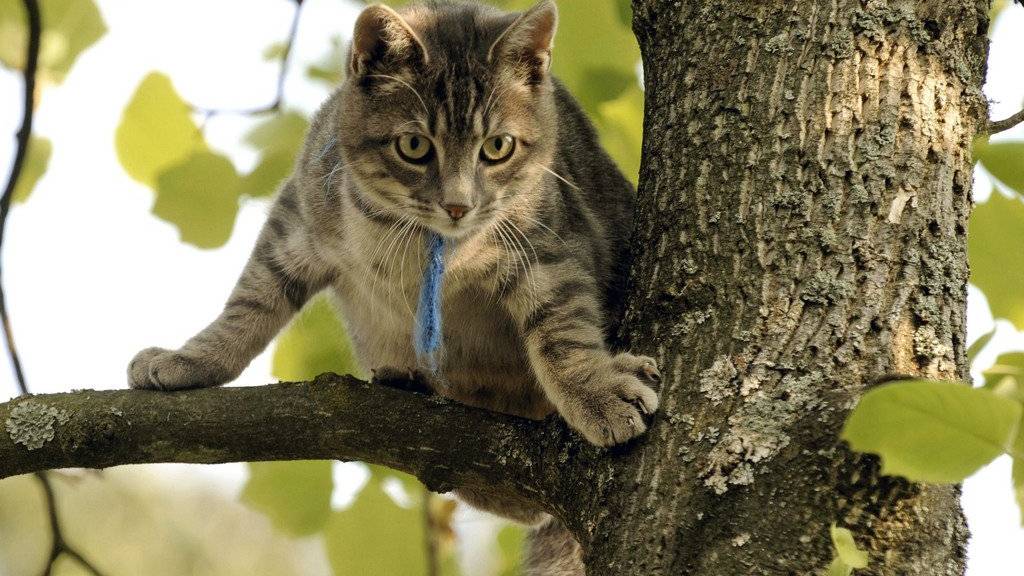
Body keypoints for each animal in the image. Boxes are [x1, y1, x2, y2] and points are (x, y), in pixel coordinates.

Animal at [128, 2, 659, 569]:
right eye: (414, 146)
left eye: (497, 147)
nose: (458, 206)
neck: (415, 242)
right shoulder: (293, 219)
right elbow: (248, 303)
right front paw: (193, 359)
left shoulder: (551, 243)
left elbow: (562, 328)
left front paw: (594, 390)